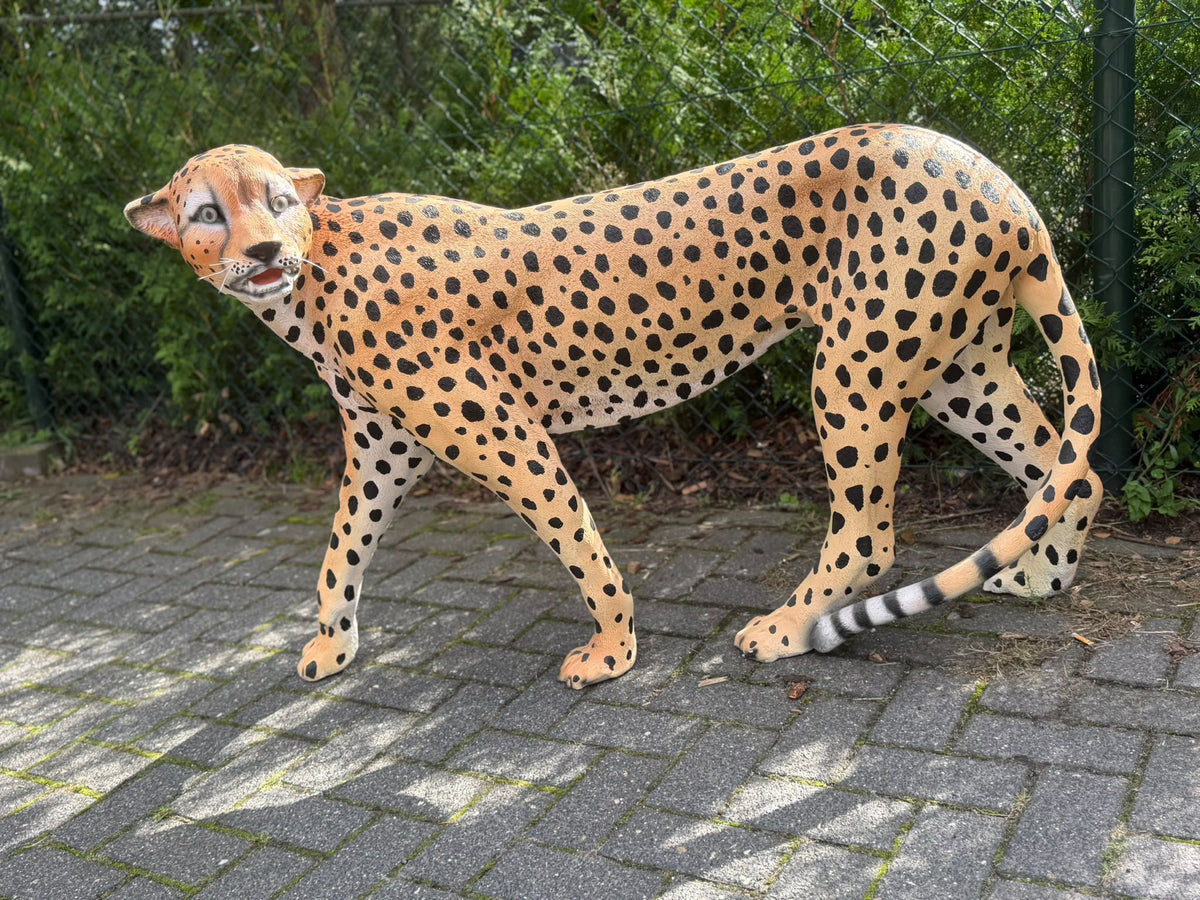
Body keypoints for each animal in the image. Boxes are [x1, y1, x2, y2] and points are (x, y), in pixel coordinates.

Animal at [125, 124, 1103, 688]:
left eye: (276, 201)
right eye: (208, 212)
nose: (262, 253)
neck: (317, 271)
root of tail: (999, 181)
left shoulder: (506, 436)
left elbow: (574, 539)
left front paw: (613, 652)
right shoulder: (381, 453)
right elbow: (340, 551)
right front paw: (333, 646)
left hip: (856, 366)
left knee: (871, 531)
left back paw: (786, 629)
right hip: (951, 368)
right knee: (1067, 469)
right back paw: (1040, 578)